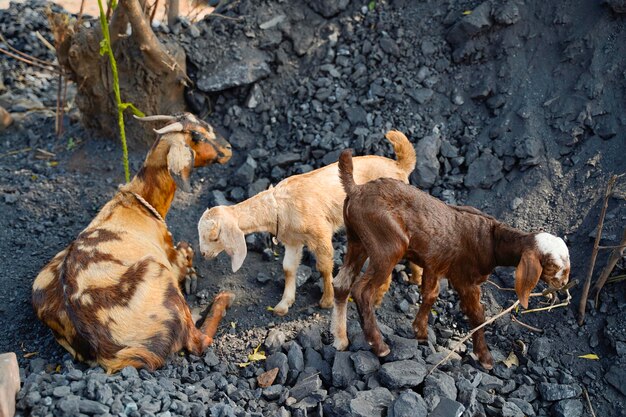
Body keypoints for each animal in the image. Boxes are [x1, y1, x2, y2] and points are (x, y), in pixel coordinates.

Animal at [197, 132, 422, 314]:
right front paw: (284, 304)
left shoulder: (320, 234)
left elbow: (324, 266)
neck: (279, 205)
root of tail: (399, 167)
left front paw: (327, 300)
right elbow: (288, 268)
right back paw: (416, 278)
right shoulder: (293, 241)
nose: (203, 254)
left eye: (215, 237)